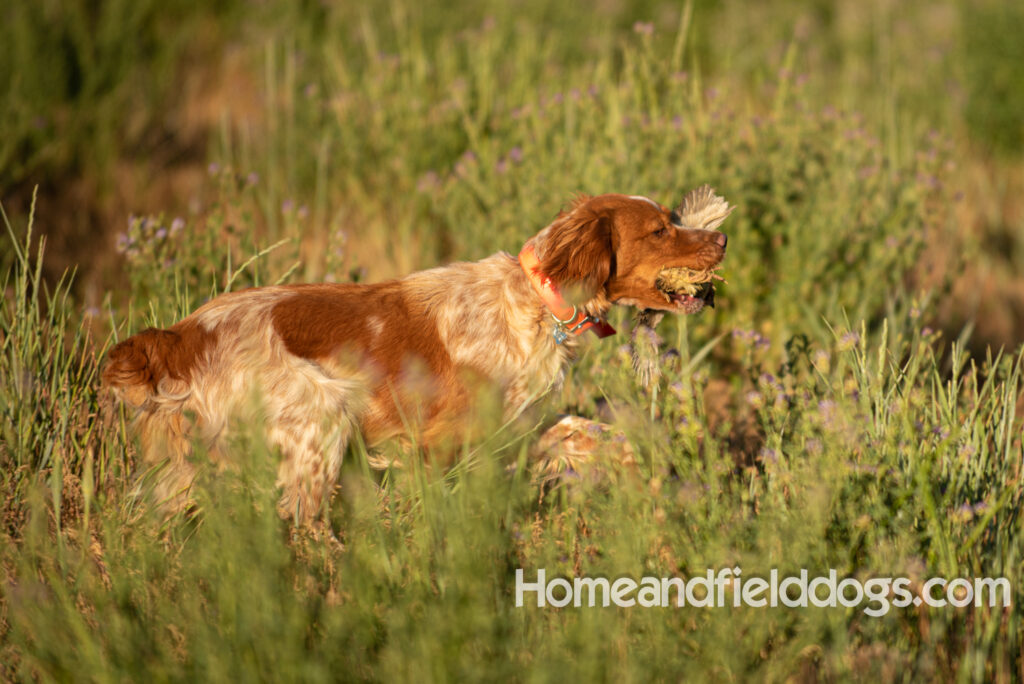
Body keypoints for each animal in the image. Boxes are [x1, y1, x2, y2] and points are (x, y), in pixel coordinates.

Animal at [103, 192, 729, 524]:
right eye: (659, 230)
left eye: (674, 218)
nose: (722, 239)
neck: (530, 304)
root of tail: (181, 335)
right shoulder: (439, 443)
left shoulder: (514, 428)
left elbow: (594, 434)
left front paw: (651, 484)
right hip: (320, 423)